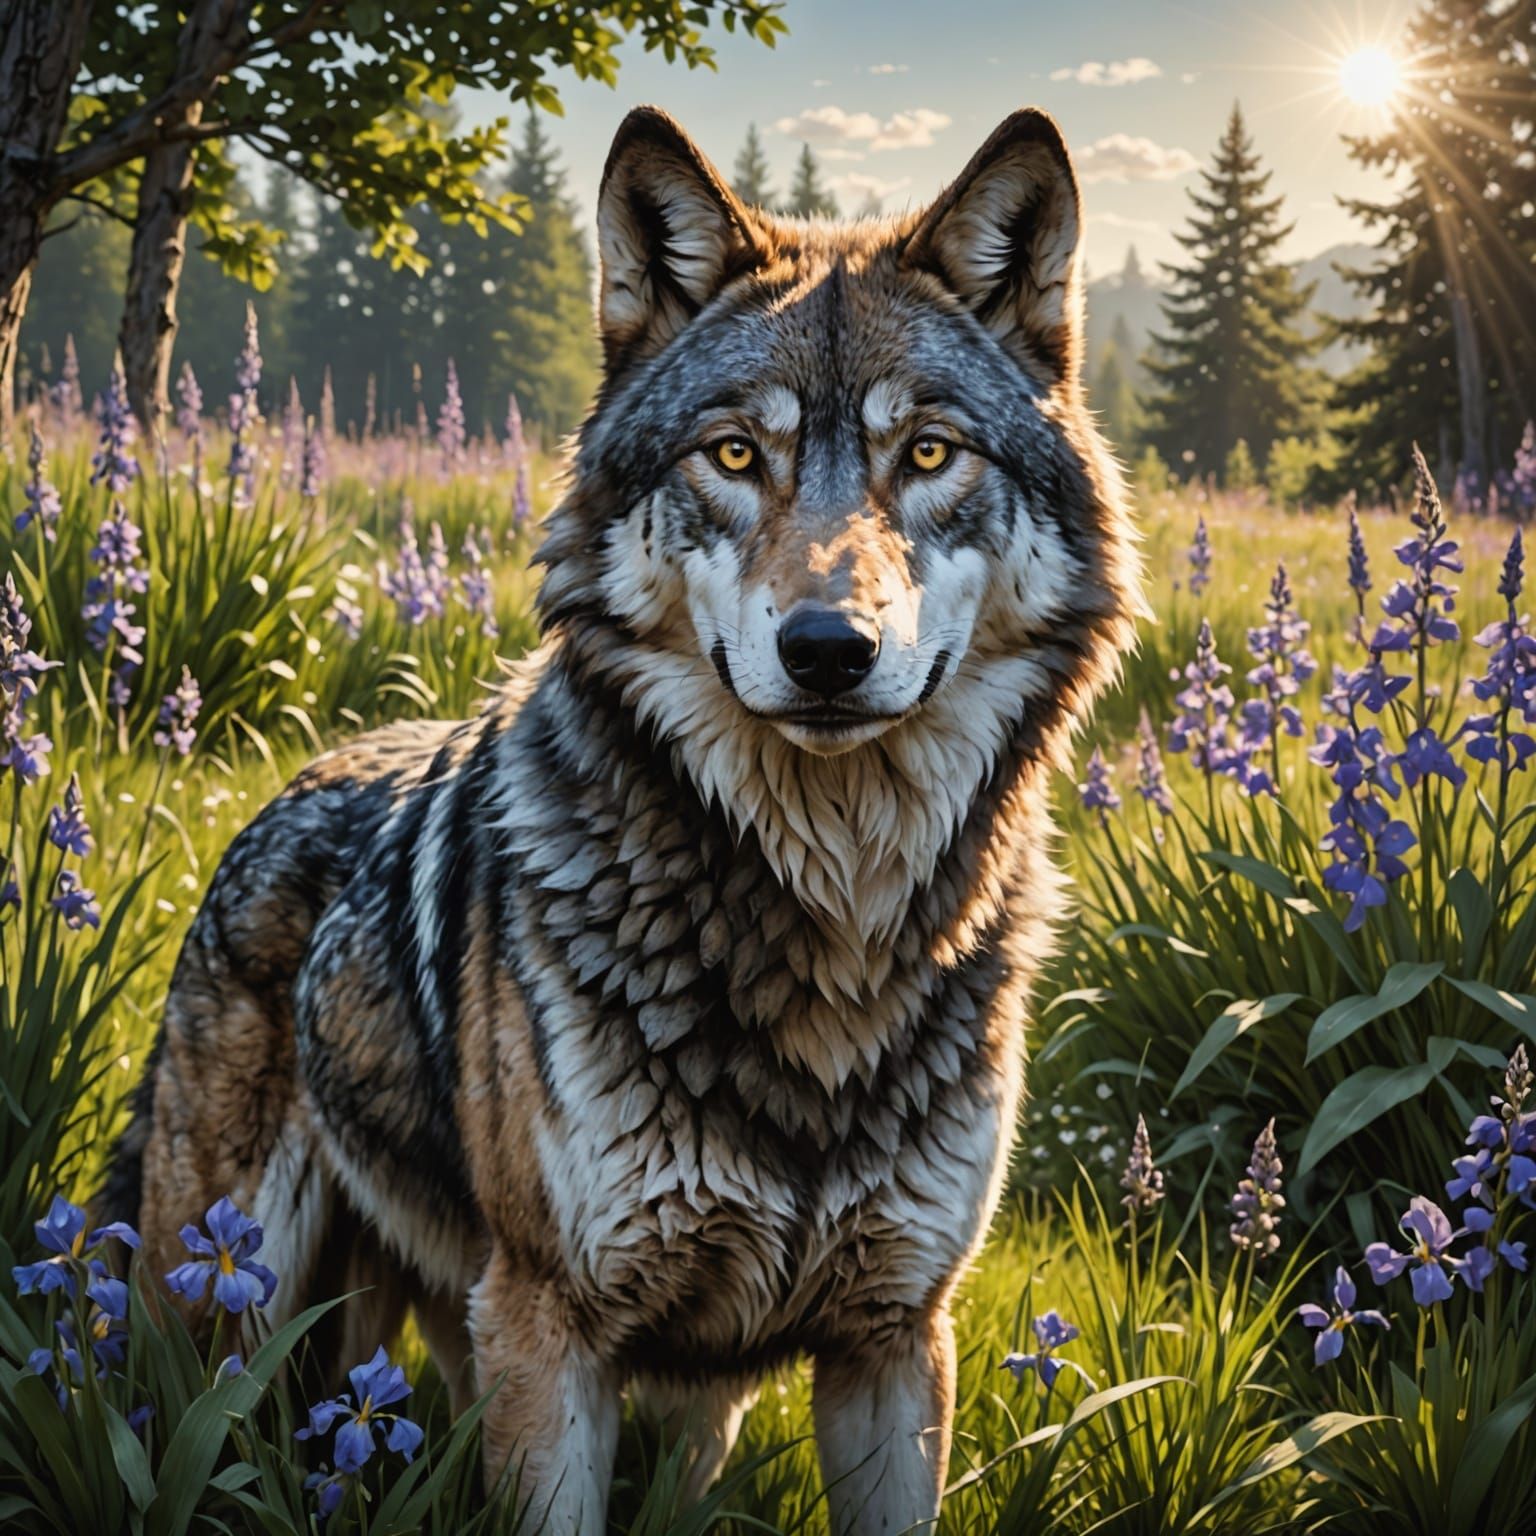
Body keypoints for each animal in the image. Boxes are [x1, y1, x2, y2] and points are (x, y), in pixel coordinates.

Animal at [105, 105, 1139, 1533]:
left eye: (927, 453)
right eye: (736, 453)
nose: (829, 650)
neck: (827, 928)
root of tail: (293, 781)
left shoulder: (891, 1340)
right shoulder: (552, 1331)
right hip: (228, 1293)